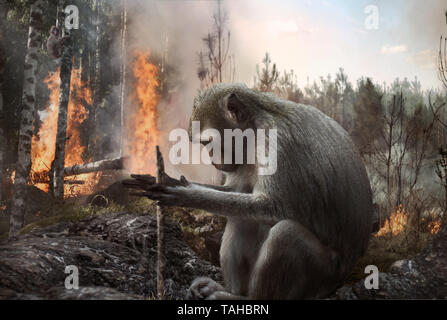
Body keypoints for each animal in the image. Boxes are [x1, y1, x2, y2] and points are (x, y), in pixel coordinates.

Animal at [123, 83, 374, 300]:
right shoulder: (243, 155)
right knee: (242, 219)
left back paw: (247, 298)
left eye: (207, 142)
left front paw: (185, 195)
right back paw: (232, 291)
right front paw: (169, 180)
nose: (212, 159)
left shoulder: (275, 144)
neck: (257, 123)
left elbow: (276, 207)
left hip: (323, 278)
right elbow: (234, 190)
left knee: (285, 233)